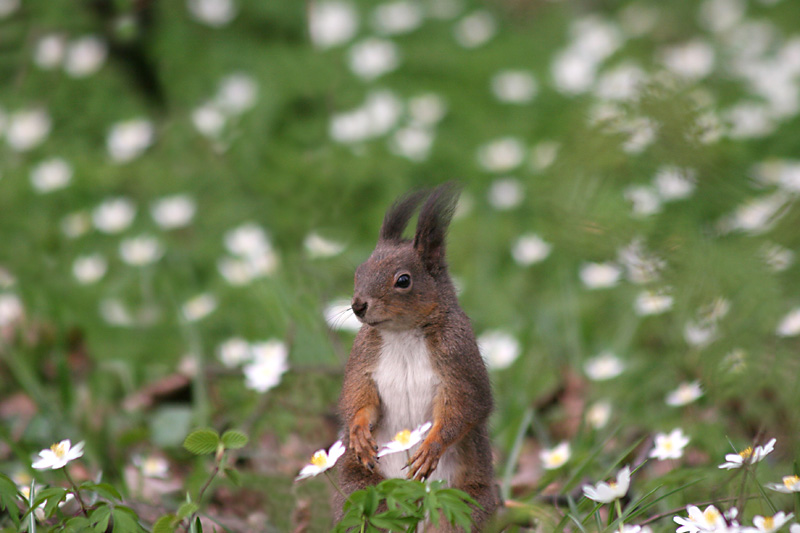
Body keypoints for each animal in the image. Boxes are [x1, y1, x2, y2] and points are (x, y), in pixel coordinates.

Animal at [332, 184, 496, 528]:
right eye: (359, 272)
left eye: (403, 280)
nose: (358, 305)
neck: (402, 334)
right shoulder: (363, 360)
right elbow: (357, 397)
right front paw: (358, 432)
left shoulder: (459, 358)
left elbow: (466, 406)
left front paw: (430, 448)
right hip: (360, 491)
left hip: (465, 506)